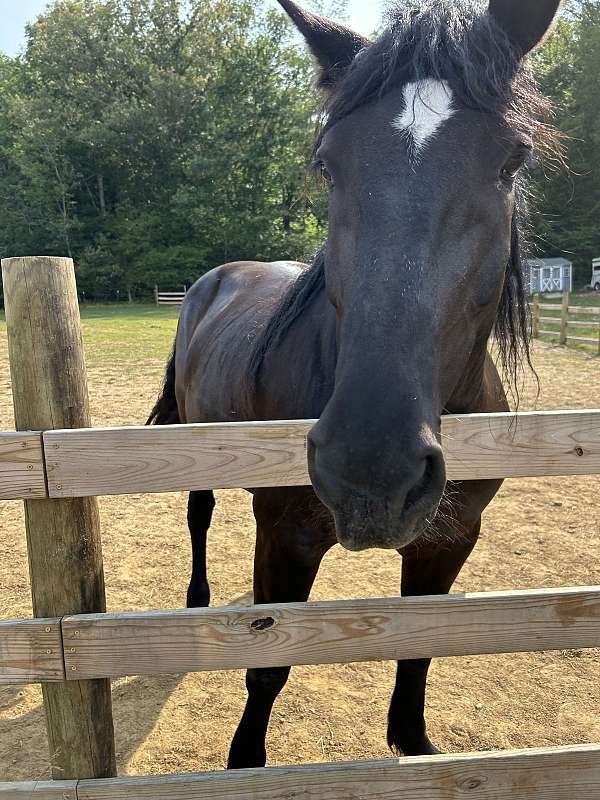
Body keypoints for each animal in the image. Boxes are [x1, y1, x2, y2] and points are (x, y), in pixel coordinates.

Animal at [148, 0, 560, 770]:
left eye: (510, 161)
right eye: (327, 163)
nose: (372, 467)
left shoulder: (450, 540)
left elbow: (419, 652)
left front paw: (414, 740)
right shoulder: (285, 538)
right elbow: (269, 663)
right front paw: (245, 763)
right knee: (198, 513)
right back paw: (196, 596)